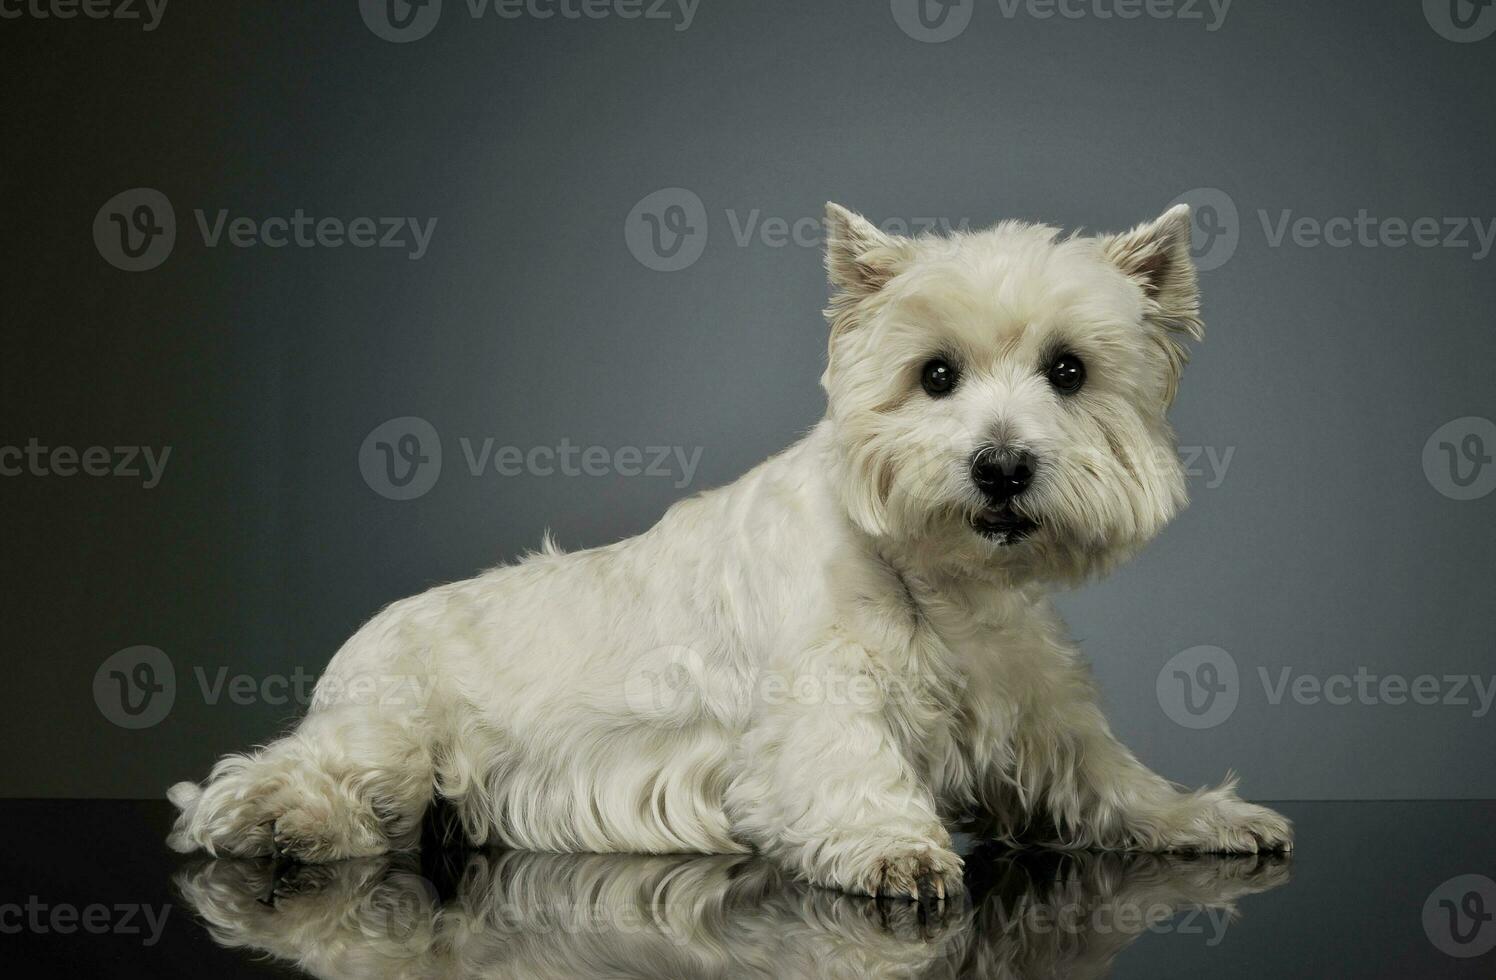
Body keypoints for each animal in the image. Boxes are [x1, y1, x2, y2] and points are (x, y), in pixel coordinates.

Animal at [163, 203, 1286, 903]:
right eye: (934, 374)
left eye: (1068, 370)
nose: (1001, 467)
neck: (945, 582)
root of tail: (365, 632)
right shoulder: (811, 710)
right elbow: (848, 771)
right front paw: (898, 848)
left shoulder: (1040, 712)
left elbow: (1113, 781)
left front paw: (1207, 813)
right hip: (391, 728)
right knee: (273, 780)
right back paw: (280, 818)